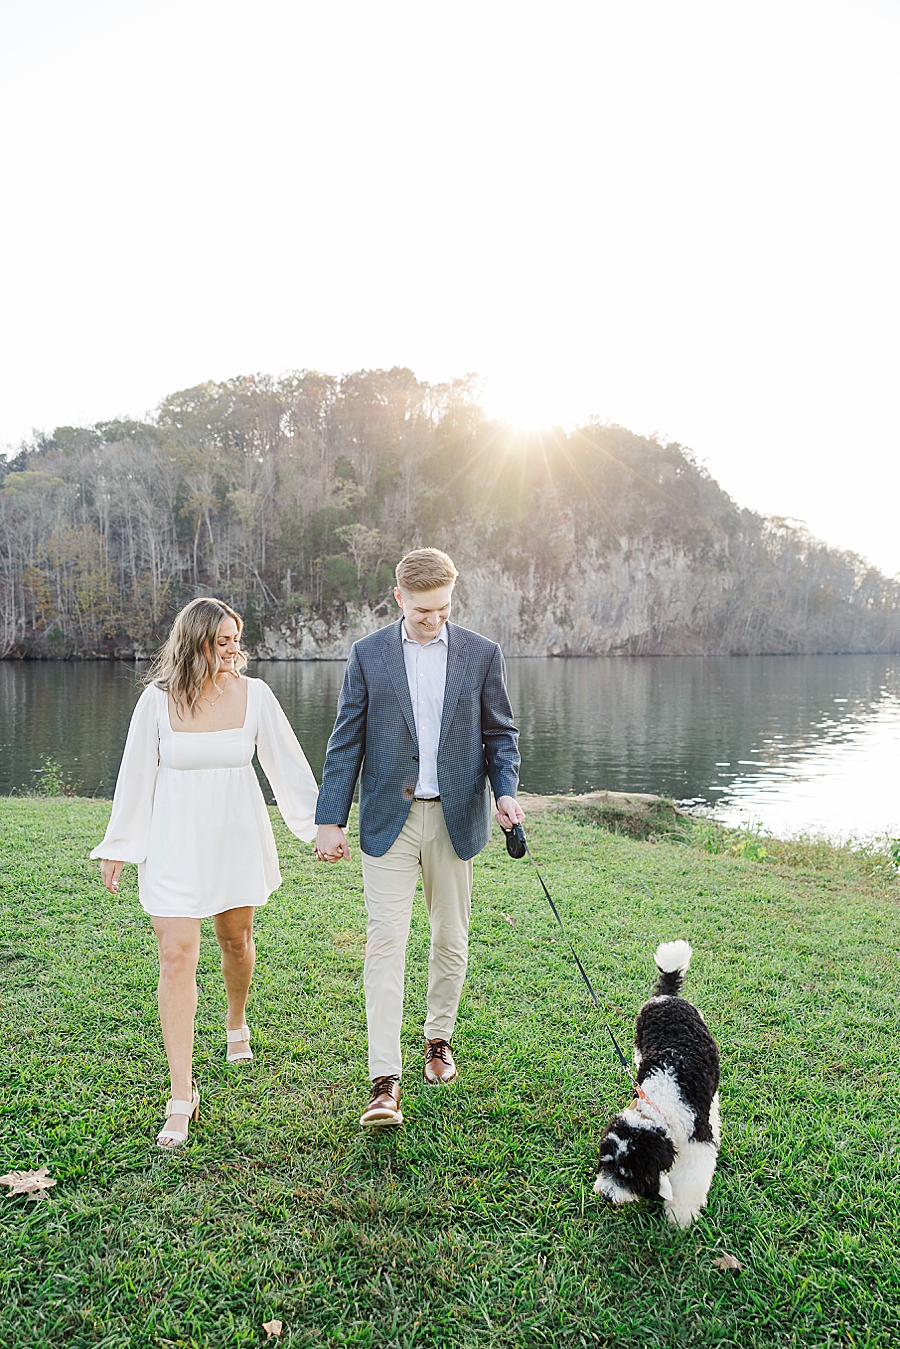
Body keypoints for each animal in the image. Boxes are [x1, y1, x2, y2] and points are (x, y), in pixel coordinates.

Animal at [593, 944, 723, 1230]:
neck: (661, 1100)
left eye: (629, 1173)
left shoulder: (696, 1144)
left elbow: (689, 1183)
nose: (606, 1196)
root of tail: (666, 996)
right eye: (605, 1163)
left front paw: (680, 1217)